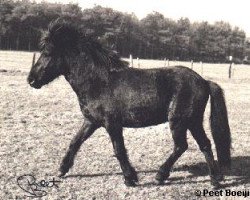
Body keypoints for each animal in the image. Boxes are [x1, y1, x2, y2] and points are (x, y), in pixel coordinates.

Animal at [27, 20, 230, 188]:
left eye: (47, 53)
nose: (31, 80)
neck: (99, 82)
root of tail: (204, 81)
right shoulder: (91, 122)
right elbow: (75, 142)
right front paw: (62, 169)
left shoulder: (112, 124)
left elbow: (119, 150)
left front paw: (130, 179)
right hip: (193, 121)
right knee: (205, 144)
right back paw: (214, 180)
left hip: (179, 121)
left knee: (182, 146)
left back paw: (161, 175)